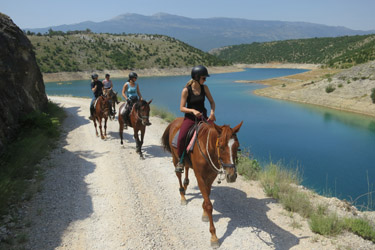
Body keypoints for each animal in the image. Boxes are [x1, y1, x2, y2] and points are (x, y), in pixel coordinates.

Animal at [162, 118, 244, 247]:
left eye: (237, 146)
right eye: (221, 146)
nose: (232, 176)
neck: (208, 149)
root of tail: (175, 121)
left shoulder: (211, 176)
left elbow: (207, 196)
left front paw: (204, 213)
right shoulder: (200, 177)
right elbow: (209, 204)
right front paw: (214, 237)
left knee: (186, 167)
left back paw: (186, 186)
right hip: (175, 158)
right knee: (178, 174)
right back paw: (182, 195)